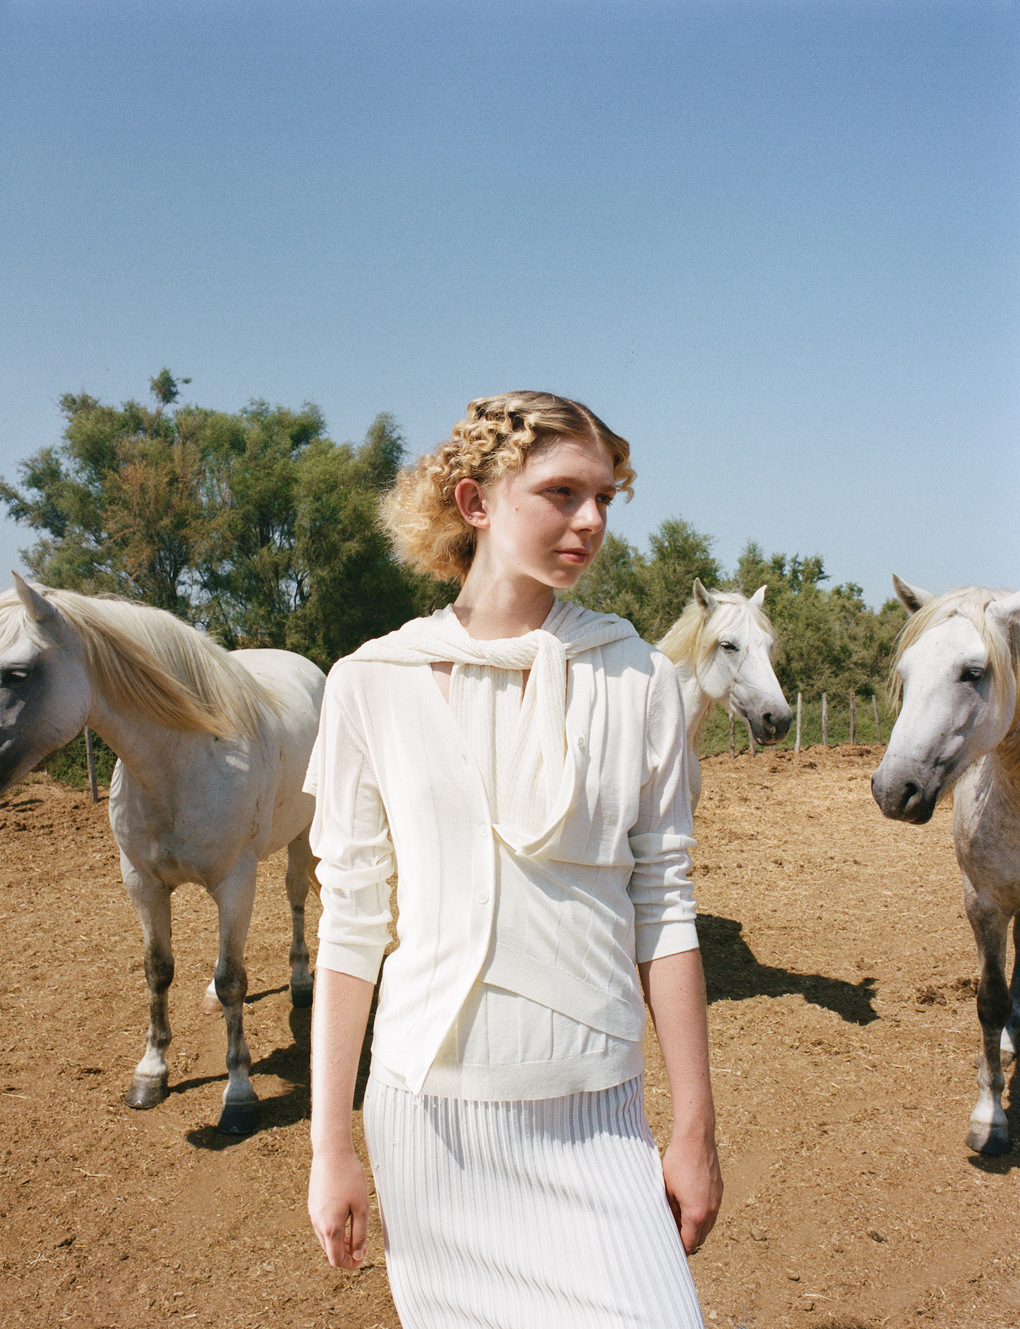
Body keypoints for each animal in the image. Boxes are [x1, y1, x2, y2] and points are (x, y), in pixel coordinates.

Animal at [0, 574, 326, 1134]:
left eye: (18, 673)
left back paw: (302, 980)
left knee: (296, 897)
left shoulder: (234, 882)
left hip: (300, 836)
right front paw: (150, 1073)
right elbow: (158, 970)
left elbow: (234, 978)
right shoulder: (142, 882)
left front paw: (239, 1093)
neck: (181, 760)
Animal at [872, 575, 1020, 1154]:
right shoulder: (984, 904)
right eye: (908, 671)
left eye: (973, 672)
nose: (893, 790)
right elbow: (990, 1001)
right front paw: (990, 1117)